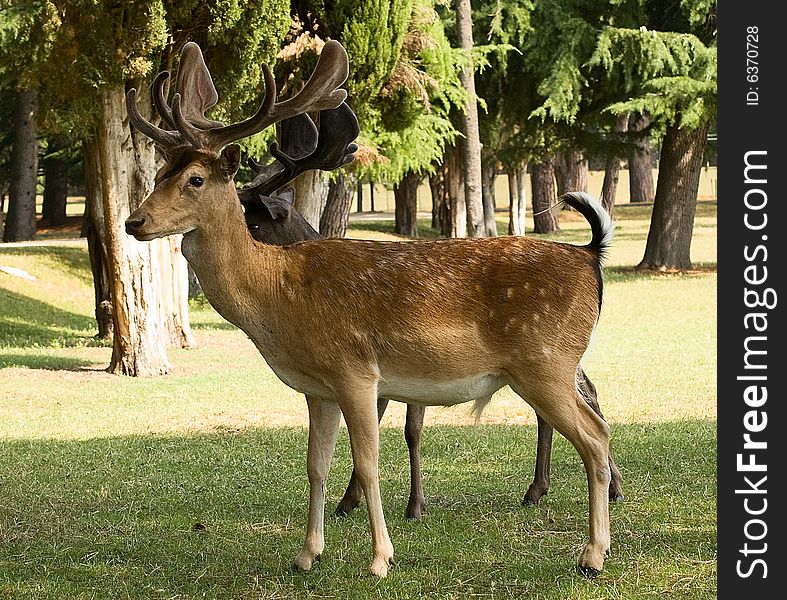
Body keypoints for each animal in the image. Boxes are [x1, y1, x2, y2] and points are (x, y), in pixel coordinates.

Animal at [237, 105, 624, 516]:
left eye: (253, 220)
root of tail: (590, 252)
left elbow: (405, 429)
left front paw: (399, 503)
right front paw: (359, 499)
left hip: (546, 352)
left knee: (582, 399)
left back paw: (593, 485)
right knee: (580, 395)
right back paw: (554, 487)